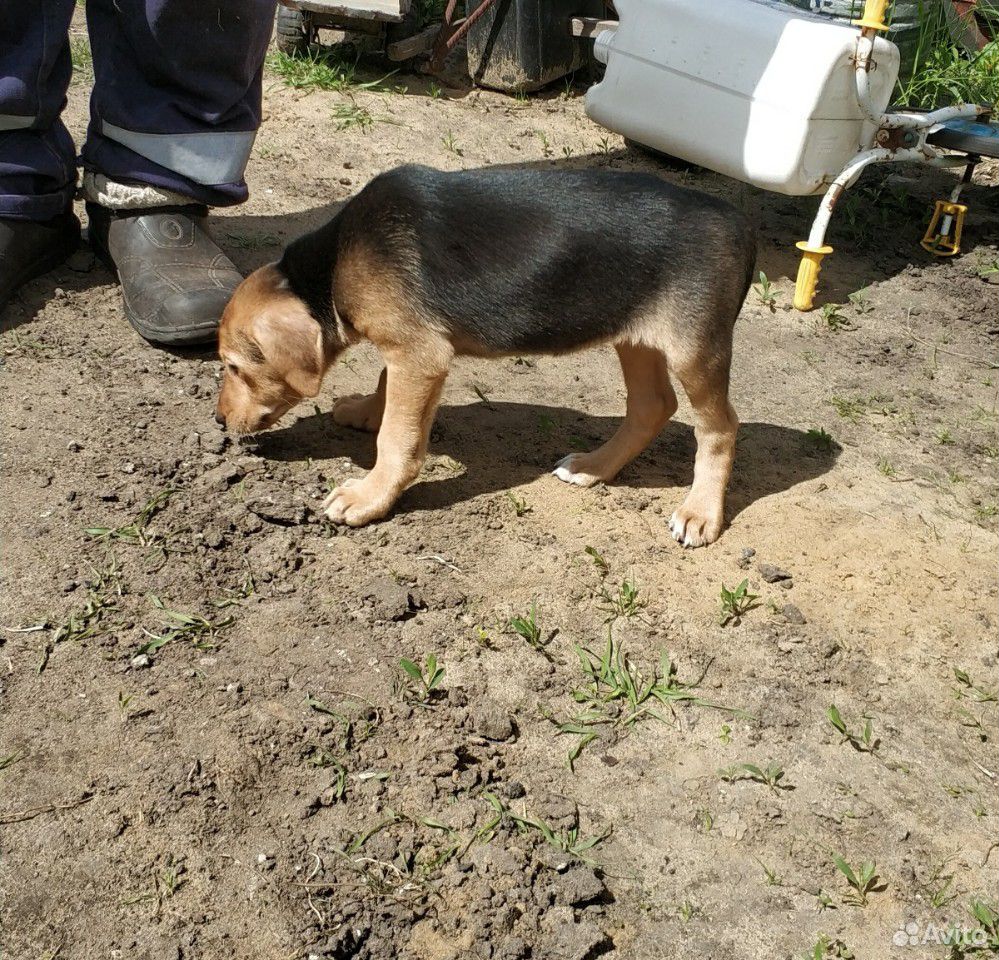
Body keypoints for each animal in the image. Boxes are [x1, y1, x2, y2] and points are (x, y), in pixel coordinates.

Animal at [215, 161, 752, 544]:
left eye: (234, 367)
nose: (219, 422)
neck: (332, 265)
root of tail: (737, 222)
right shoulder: (413, 347)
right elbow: (387, 387)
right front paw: (366, 411)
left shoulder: (420, 353)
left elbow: (396, 438)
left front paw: (371, 495)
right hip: (634, 336)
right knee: (652, 406)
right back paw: (594, 467)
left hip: (693, 348)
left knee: (720, 426)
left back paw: (700, 511)